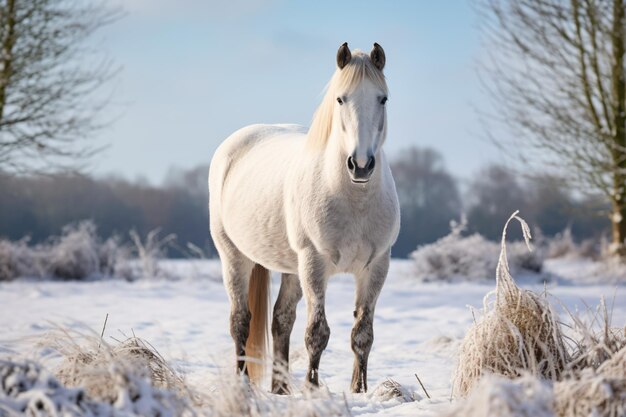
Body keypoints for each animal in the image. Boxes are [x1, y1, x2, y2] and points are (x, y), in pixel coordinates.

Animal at [207, 43, 398, 394]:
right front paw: (312, 388)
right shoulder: (314, 264)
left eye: (383, 99)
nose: (361, 165)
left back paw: (280, 389)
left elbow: (362, 334)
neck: (353, 200)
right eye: (340, 98)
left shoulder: (377, 266)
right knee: (240, 321)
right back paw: (244, 384)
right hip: (234, 256)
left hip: (291, 269)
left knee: (280, 321)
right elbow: (317, 333)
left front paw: (360, 391)